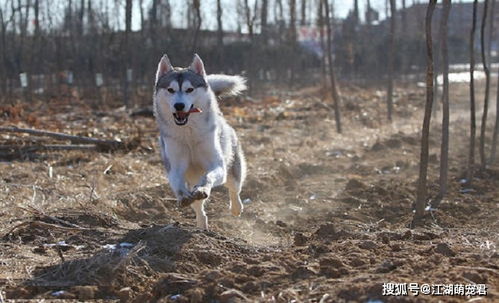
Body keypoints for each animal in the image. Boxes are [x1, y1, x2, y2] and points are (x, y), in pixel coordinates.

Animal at [152, 54, 246, 230]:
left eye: (189, 89)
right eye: (170, 90)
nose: (179, 105)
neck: (189, 134)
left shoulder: (217, 165)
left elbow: (208, 177)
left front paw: (203, 188)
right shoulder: (175, 166)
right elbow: (178, 183)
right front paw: (183, 196)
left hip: (232, 169)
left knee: (234, 188)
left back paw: (236, 207)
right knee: (198, 206)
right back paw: (202, 225)